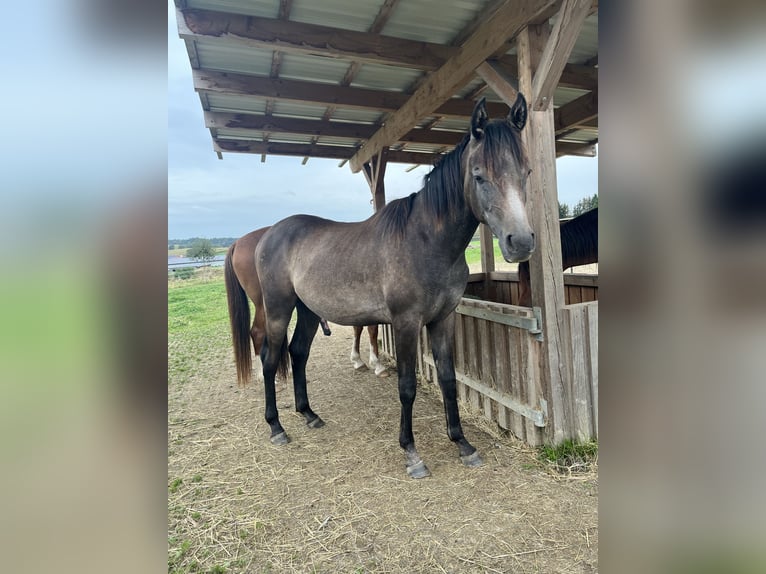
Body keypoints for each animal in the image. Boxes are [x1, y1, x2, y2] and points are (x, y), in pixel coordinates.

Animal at [255, 95, 536, 482]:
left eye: (526, 173)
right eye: (479, 175)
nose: (520, 243)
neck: (426, 242)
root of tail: (268, 235)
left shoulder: (443, 320)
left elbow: (448, 379)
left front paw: (462, 444)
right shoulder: (405, 323)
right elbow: (407, 387)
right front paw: (412, 454)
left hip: (309, 310)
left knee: (298, 353)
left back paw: (309, 415)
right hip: (279, 309)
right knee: (270, 360)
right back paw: (276, 427)